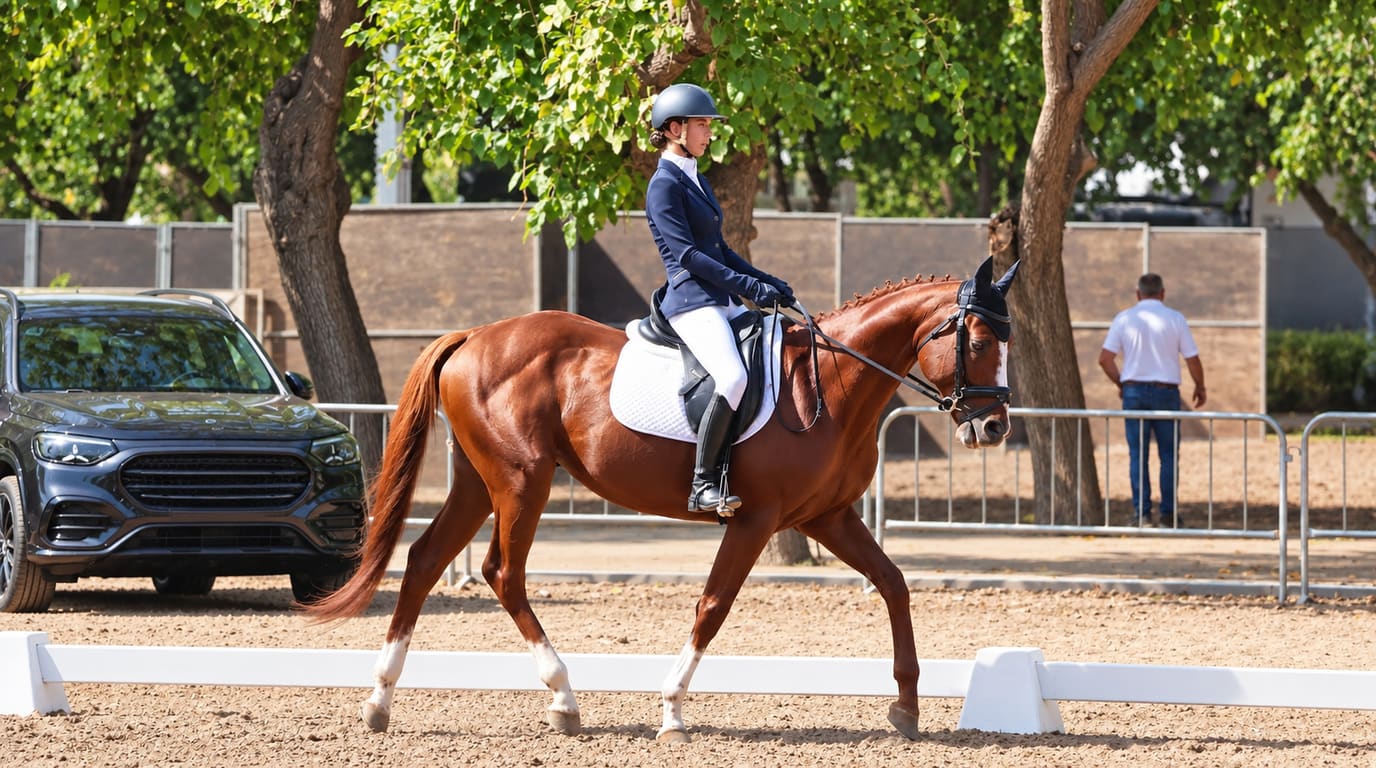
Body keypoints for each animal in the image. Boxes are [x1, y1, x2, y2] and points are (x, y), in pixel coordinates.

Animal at [307, 255, 1020, 742]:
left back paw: (380, 700)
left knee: (426, 561)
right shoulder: (756, 518)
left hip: (480, 483)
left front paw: (906, 707)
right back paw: (563, 698)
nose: (993, 428)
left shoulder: (827, 516)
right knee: (502, 572)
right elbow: (713, 605)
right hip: (522, 480)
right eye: (980, 342)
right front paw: (672, 710)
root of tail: (475, 335)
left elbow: (894, 583)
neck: (830, 383)